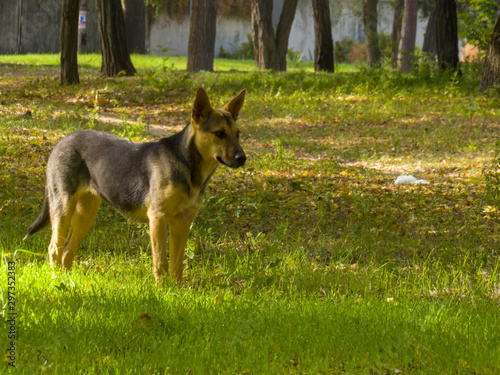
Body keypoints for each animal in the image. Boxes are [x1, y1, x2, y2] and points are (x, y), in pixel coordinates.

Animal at [23, 87, 246, 282]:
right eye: (219, 133)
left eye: (238, 133)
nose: (243, 158)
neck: (187, 164)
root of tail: (61, 142)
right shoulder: (158, 218)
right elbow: (161, 263)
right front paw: (162, 292)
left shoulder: (182, 223)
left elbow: (177, 266)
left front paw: (177, 292)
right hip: (63, 208)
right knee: (54, 249)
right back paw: (56, 280)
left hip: (86, 213)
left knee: (68, 250)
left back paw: (68, 280)